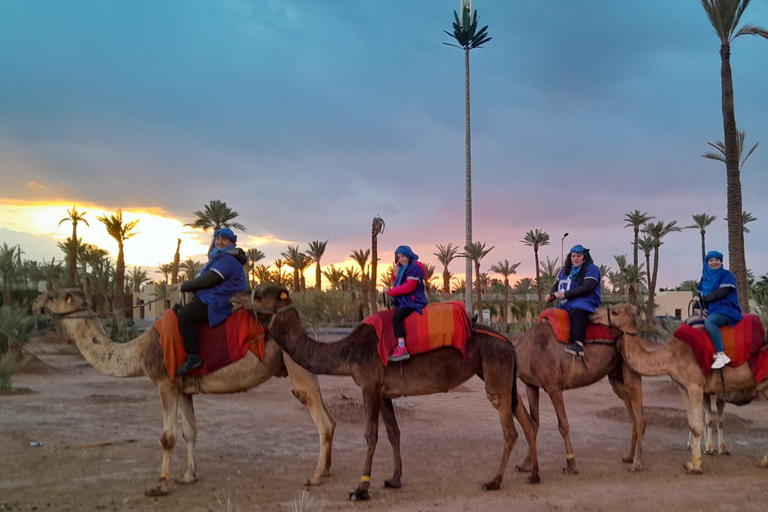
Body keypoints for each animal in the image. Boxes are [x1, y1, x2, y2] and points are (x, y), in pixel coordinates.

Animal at [33, 292, 334, 496]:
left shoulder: (165, 383)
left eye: (55, 296)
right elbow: (190, 431)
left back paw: (315, 477)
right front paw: (188, 475)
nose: (35, 302)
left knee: (322, 422)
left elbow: (168, 437)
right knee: (330, 419)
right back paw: (327, 470)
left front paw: (159, 485)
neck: (138, 350)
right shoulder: (184, 390)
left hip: (297, 366)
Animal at [228, 286, 540, 502]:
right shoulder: (385, 392)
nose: (234, 298)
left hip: (495, 372)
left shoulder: (369, 385)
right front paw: (393, 479)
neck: (347, 352)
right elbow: (393, 433)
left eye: (262, 294)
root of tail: (508, 342)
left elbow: (370, 435)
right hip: (501, 374)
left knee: (510, 429)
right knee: (527, 422)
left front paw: (360, 488)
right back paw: (534, 475)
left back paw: (494, 481)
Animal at [510, 322, 648, 474]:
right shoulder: (531, 385)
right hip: (616, 377)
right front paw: (525, 464)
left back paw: (637, 464)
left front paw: (571, 464)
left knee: (640, 417)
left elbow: (563, 425)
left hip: (631, 366)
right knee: (632, 415)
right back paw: (629, 457)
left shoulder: (553, 387)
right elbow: (534, 424)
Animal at [592, 302, 768, 474]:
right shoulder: (682, 386)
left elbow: (698, 426)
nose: (593, 314)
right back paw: (763, 462)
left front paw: (695, 466)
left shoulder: (695, 386)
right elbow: (691, 423)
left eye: (615, 311)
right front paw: (693, 461)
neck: (671, 356)